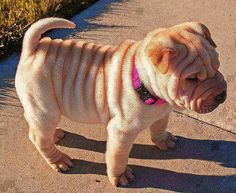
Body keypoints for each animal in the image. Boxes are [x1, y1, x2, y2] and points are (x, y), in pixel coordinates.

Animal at [14, 17, 227, 186]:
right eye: (192, 79)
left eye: (217, 65)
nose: (222, 94)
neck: (146, 85)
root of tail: (33, 48)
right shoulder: (121, 132)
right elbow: (117, 156)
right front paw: (120, 175)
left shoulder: (162, 113)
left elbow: (159, 128)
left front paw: (163, 141)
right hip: (44, 107)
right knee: (38, 137)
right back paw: (58, 160)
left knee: (36, 126)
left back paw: (55, 134)